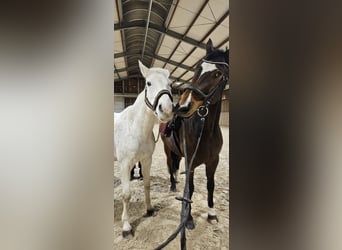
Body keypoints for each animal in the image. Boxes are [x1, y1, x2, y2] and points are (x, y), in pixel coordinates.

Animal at [161, 38, 230, 229]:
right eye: (198, 68)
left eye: (217, 74)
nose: (183, 106)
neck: (205, 132)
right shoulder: (190, 163)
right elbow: (190, 188)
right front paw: (189, 218)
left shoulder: (213, 161)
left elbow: (210, 185)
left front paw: (212, 214)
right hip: (167, 151)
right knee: (170, 165)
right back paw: (172, 185)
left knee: (175, 166)